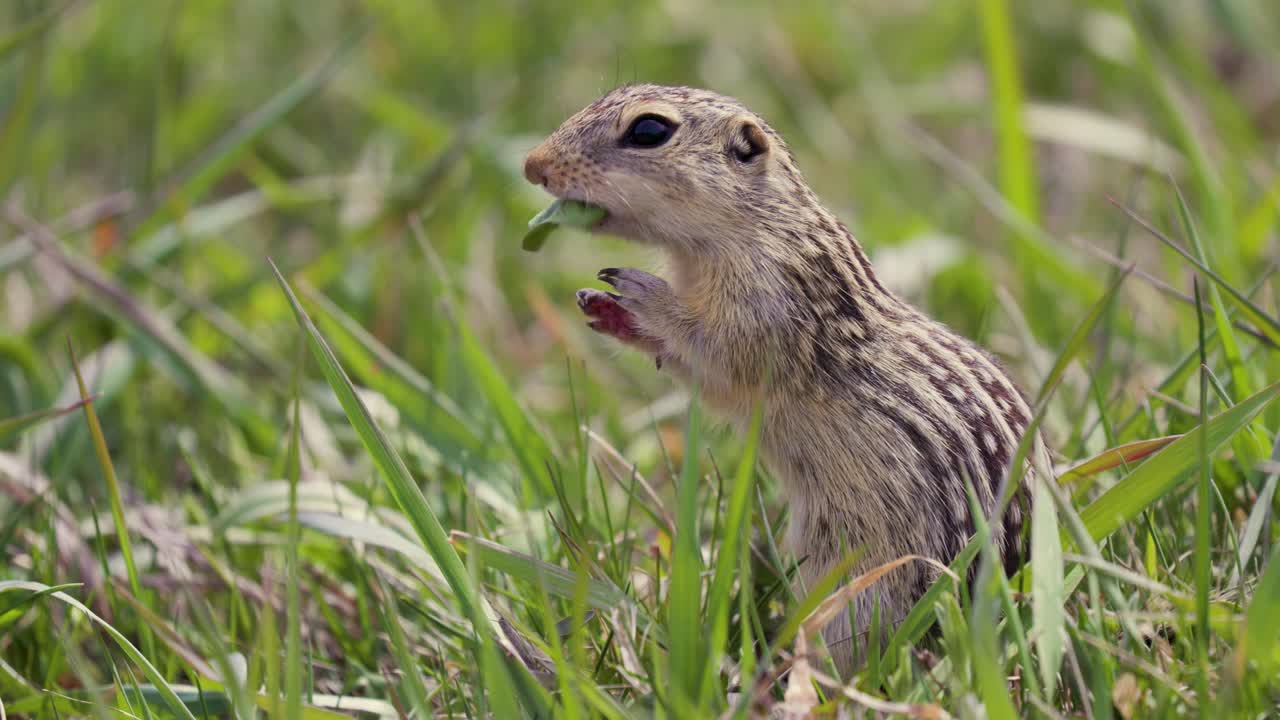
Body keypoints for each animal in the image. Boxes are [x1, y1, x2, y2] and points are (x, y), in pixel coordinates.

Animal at [524, 84, 1048, 672]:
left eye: (649, 131)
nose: (533, 165)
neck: (752, 231)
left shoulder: (770, 310)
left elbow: (717, 353)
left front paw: (641, 294)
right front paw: (606, 309)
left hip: (865, 593)